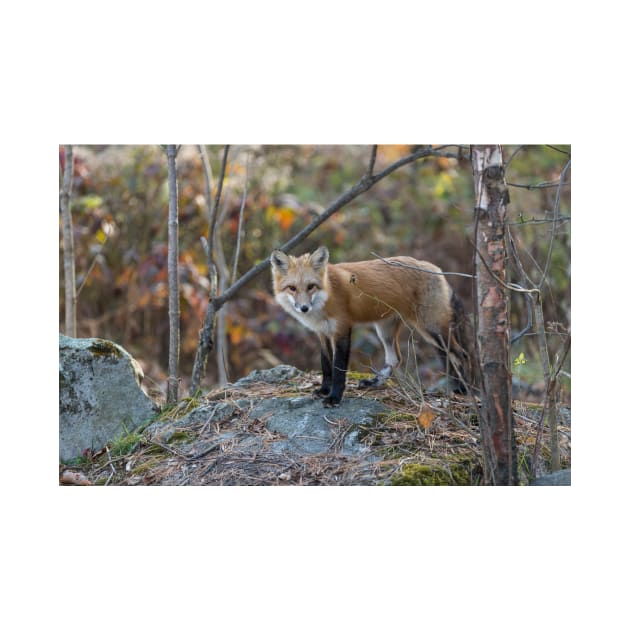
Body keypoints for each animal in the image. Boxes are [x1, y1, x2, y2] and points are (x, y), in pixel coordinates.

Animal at [270, 244, 472, 408]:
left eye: (311, 286)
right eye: (292, 288)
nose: (304, 308)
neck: (328, 293)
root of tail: (437, 269)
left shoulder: (342, 330)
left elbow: (338, 368)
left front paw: (334, 397)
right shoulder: (322, 333)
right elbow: (326, 366)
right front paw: (324, 390)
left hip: (431, 329)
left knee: (461, 354)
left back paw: (464, 389)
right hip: (385, 331)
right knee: (395, 359)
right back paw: (375, 383)